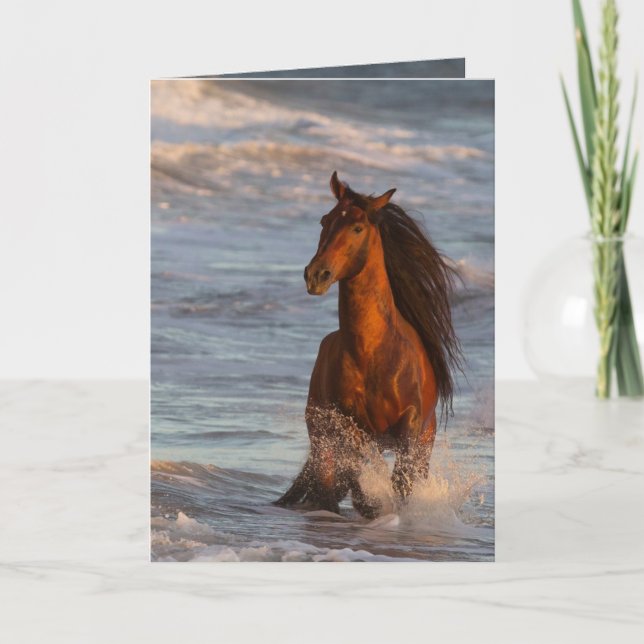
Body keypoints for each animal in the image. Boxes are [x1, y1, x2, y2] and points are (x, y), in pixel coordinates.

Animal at [275, 171, 462, 518]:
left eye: (357, 227)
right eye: (325, 220)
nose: (316, 275)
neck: (373, 353)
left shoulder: (410, 427)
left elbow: (400, 479)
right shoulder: (351, 424)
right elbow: (359, 469)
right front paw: (371, 504)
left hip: (425, 441)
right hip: (321, 435)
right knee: (329, 481)